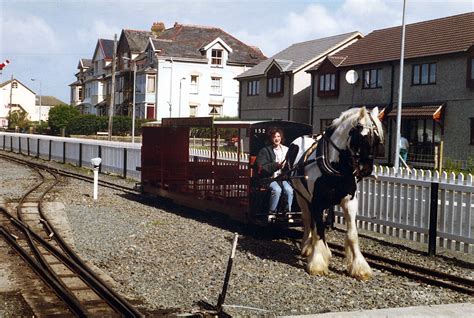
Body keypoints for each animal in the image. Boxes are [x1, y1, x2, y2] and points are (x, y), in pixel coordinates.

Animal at [286, 107, 384, 280]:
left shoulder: (350, 202)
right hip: (301, 196)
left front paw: (359, 268)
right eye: (361, 137)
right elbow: (319, 231)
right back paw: (307, 247)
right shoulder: (317, 202)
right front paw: (317, 264)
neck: (337, 168)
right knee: (307, 220)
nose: (366, 170)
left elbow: (352, 234)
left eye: (377, 140)